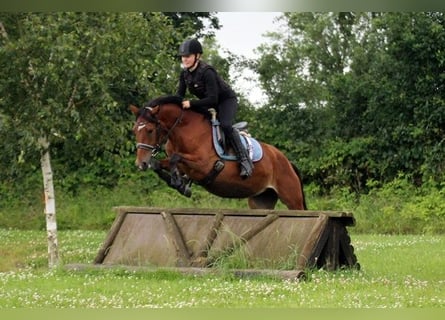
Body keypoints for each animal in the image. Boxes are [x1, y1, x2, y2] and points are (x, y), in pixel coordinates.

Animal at [130, 95, 306, 210]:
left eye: (150, 130)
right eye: (134, 130)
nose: (140, 164)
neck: (184, 131)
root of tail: (288, 162)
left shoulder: (204, 165)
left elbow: (175, 158)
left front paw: (178, 181)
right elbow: (159, 164)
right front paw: (179, 183)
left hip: (292, 198)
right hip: (261, 200)